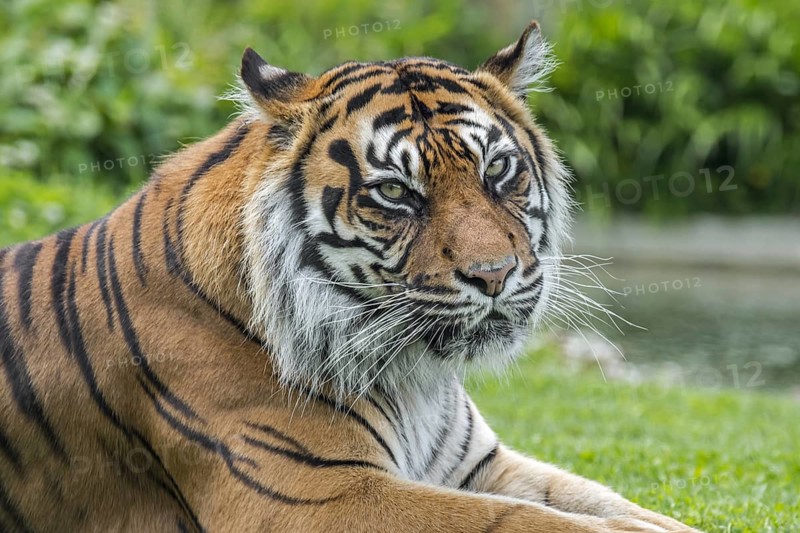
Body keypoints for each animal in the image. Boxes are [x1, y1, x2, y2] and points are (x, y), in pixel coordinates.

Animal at [0, 21, 697, 532]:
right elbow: (526, 522)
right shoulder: (316, 491)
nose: (494, 276)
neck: (414, 376)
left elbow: (616, 505)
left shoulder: (477, 465)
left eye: (498, 169)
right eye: (395, 192)